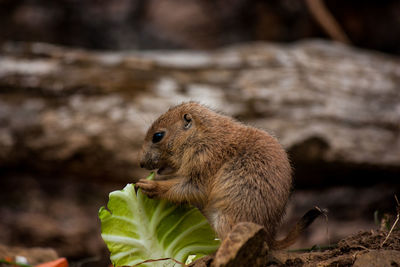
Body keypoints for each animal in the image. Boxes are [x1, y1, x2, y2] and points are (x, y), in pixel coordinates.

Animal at [137, 102, 322, 249]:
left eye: (157, 136)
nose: (140, 163)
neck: (200, 136)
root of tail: (269, 237)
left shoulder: (203, 161)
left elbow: (191, 188)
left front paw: (148, 185)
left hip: (224, 218)